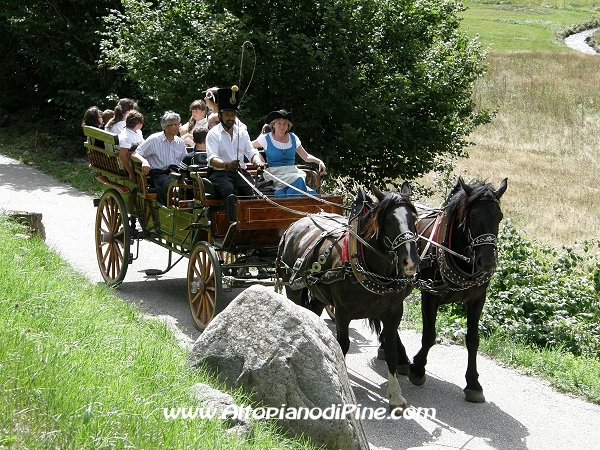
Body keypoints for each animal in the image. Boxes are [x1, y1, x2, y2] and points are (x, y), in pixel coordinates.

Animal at [276, 183, 418, 412]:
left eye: (414, 218)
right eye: (389, 220)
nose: (410, 261)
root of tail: (296, 223)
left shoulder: (393, 314)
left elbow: (392, 351)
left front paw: (396, 396)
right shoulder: (343, 314)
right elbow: (342, 346)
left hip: (318, 296)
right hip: (293, 289)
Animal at [408, 178, 506, 402]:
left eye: (500, 216)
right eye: (473, 215)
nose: (487, 262)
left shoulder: (477, 300)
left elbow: (473, 340)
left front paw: (473, 383)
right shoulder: (430, 295)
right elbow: (429, 336)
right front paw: (417, 368)